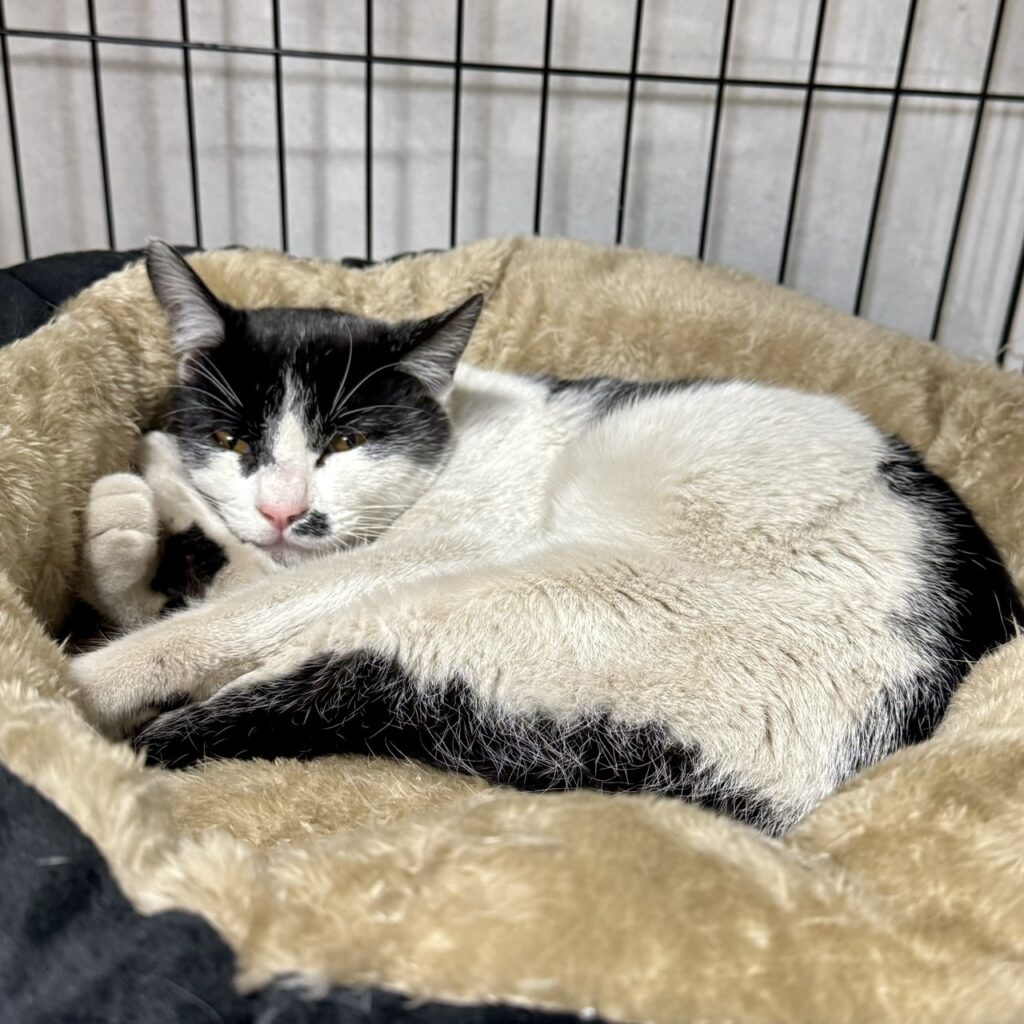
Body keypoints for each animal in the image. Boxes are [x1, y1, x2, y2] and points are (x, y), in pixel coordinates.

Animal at [71, 240, 1023, 835]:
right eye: (232, 438)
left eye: (346, 440)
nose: (281, 508)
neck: (455, 430)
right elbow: (242, 570)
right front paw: (153, 490)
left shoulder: (434, 545)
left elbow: (252, 605)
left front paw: (96, 669)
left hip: (519, 599)